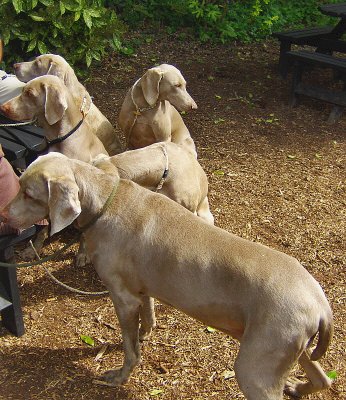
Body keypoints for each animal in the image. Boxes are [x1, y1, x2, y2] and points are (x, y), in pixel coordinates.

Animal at [2, 152, 332, 398]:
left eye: (28, 193)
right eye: (18, 184)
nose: (4, 214)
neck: (106, 201)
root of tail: (321, 304)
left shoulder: (122, 297)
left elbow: (129, 348)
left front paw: (120, 376)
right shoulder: (142, 289)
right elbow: (148, 316)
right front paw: (146, 333)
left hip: (256, 364)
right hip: (288, 348)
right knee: (323, 380)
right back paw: (297, 387)